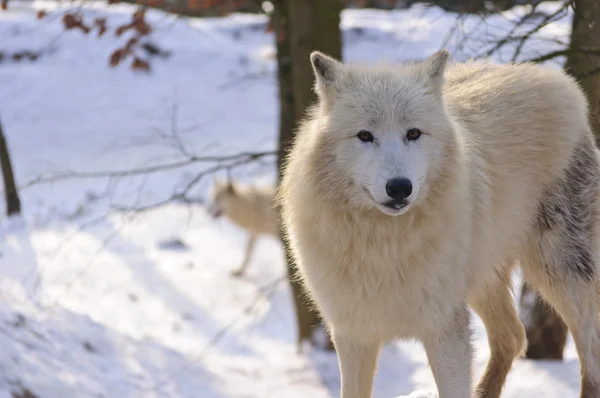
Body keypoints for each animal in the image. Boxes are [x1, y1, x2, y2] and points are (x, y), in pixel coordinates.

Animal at [278, 49, 600, 398]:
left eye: (413, 133)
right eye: (364, 135)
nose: (399, 187)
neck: (383, 244)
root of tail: (559, 80)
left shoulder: (444, 328)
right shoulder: (353, 332)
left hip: (560, 274)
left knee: (590, 351)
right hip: (485, 279)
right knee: (513, 336)